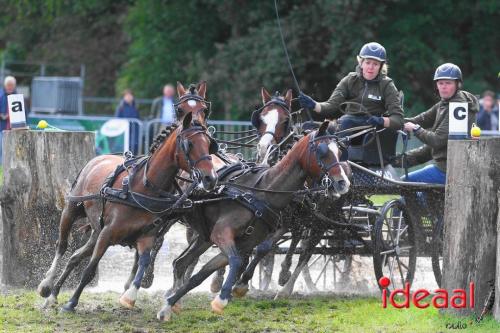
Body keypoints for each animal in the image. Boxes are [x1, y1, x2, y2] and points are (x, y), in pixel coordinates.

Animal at [34, 81, 215, 310]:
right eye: (188, 145)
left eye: (208, 144)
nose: (210, 177)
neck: (145, 186)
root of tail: (98, 158)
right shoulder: (107, 233)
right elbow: (89, 269)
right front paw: (72, 302)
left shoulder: (146, 236)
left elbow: (143, 261)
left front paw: (130, 295)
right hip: (71, 211)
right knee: (62, 246)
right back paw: (47, 285)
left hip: (95, 230)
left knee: (75, 256)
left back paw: (54, 293)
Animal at [158, 119, 350, 320]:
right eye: (322, 151)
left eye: (339, 151)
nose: (343, 182)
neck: (262, 192)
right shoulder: (222, 233)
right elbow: (236, 260)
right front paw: (225, 296)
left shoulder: (244, 243)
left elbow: (205, 273)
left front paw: (169, 305)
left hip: (205, 236)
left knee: (181, 262)